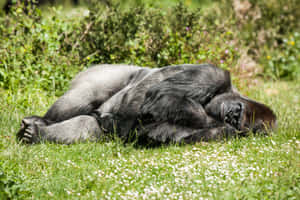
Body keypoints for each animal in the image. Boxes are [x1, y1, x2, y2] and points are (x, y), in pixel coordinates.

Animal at [15, 63, 276, 144]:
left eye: (239, 121)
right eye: (238, 110)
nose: (231, 116)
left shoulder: (225, 134)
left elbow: (157, 132)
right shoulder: (213, 74)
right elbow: (162, 95)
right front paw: (207, 118)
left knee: (90, 126)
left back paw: (37, 133)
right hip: (104, 72)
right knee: (86, 96)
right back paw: (43, 121)